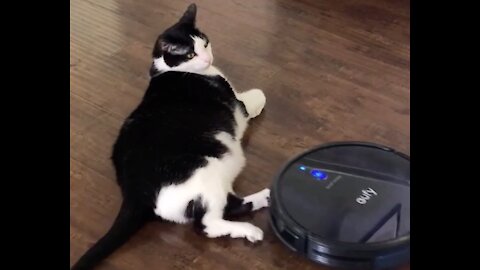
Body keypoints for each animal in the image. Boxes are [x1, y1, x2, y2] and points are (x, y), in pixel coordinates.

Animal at [73, 4, 272, 270]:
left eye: (205, 43)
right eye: (189, 55)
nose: (207, 59)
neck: (173, 70)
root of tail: (134, 192)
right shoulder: (239, 105)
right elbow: (254, 98)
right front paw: (259, 95)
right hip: (207, 171)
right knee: (209, 223)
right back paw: (256, 220)